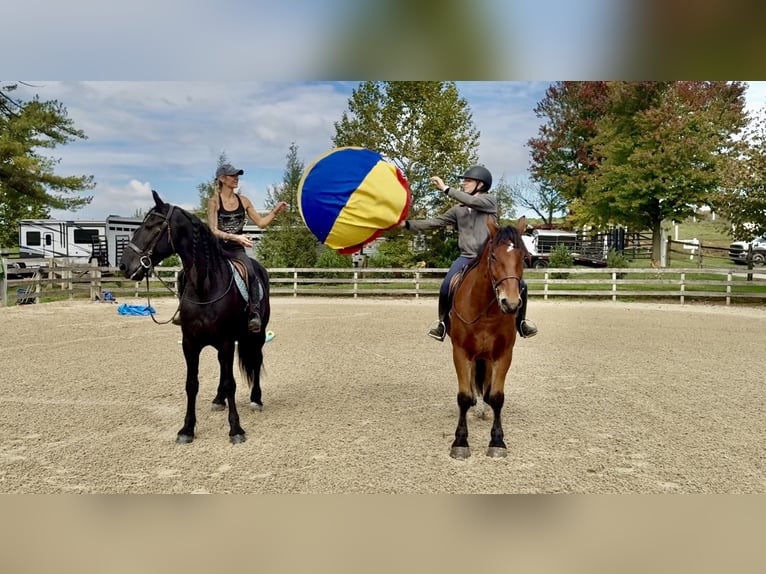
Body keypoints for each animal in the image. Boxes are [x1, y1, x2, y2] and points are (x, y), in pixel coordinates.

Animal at [119, 190, 270, 444]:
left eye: (151, 226)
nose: (123, 265)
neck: (205, 286)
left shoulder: (226, 341)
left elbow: (231, 383)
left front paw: (236, 429)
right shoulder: (190, 343)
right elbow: (192, 384)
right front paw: (187, 429)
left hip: (255, 336)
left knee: (256, 361)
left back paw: (256, 399)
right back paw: (218, 399)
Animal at [446, 216, 528, 459]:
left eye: (523, 257)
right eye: (493, 256)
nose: (511, 303)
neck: (485, 312)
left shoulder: (503, 355)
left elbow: (497, 396)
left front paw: (497, 441)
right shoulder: (460, 352)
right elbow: (463, 396)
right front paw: (460, 442)